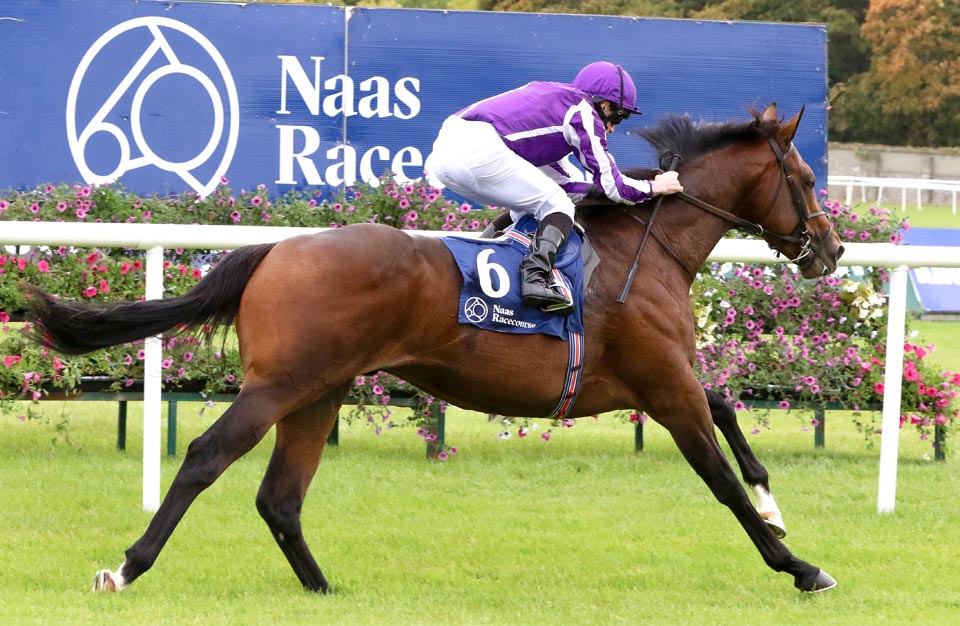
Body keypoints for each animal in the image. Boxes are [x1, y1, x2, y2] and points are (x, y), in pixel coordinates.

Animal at [26, 103, 843, 594]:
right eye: (805, 178)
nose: (830, 251)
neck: (647, 246)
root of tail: (276, 251)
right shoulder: (664, 387)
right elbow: (719, 478)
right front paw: (799, 565)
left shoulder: (665, 379)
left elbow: (731, 415)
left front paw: (775, 508)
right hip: (281, 383)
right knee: (207, 458)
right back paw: (127, 568)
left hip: (319, 389)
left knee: (279, 496)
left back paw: (322, 587)